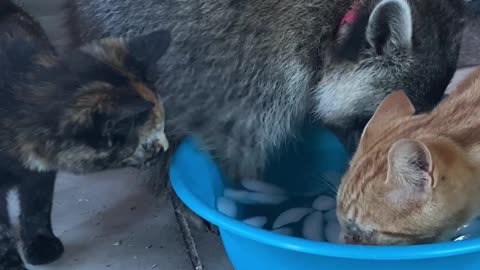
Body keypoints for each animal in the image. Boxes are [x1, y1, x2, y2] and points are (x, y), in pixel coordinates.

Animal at [0, 1, 172, 268]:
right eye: (151, 145)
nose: (166, 149)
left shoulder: (40, 171)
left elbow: (38, 204)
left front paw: (41, 244)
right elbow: (0, 229)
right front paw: (8, 260)